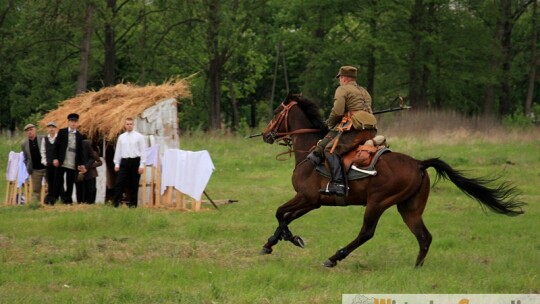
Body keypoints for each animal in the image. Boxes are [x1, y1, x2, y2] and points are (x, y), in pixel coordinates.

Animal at [260, 93, 524, 268]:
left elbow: (279, 213)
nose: (265, 134)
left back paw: (335, 258)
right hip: (409, 208)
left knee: (366, 233)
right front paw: (275, 241)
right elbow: (285, 217)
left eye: (276, 113)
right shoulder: (313, 202)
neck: (309, 152)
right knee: (424, 237)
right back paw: (416, 268)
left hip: (377, 203)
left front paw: (289, 239)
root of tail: (419, 164)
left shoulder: (307, 197)